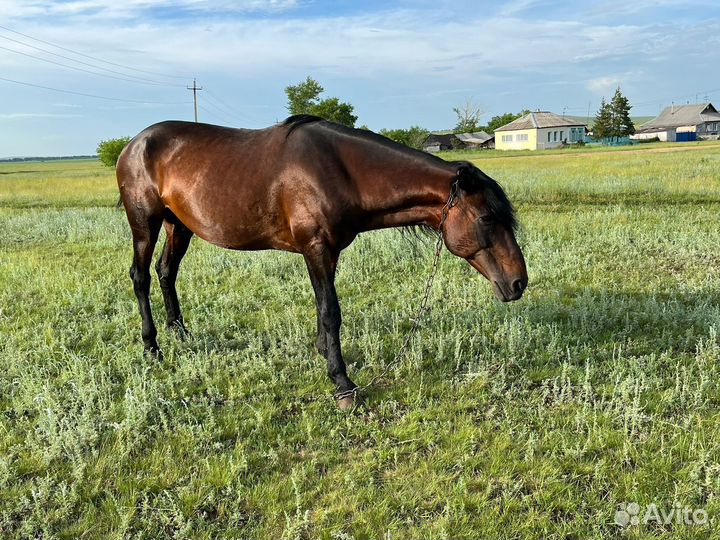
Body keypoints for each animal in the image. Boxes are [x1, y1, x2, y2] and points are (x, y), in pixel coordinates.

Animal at [115, 115, 524, 410]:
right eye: (487, 217)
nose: (519, 283)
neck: (338, 171)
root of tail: (133, 144)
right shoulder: (317, 248)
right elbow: (330, 310)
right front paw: (342, 384)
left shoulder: (329, 252)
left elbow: (322, 307)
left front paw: (324, 352)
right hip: (145, 223)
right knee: (141, 277)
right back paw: (152, 347)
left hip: (178, 224)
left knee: (167, 272)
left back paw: (180, 332)